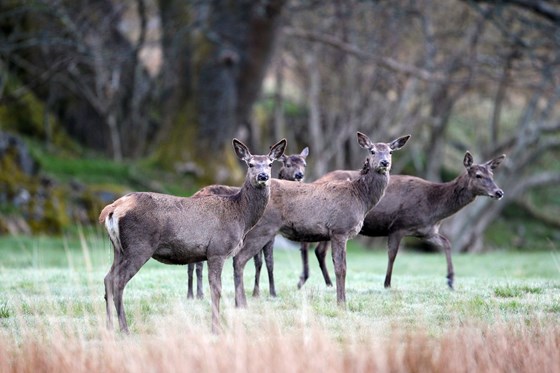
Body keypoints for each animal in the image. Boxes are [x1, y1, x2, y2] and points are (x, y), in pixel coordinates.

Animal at [98, 137, 286, 332]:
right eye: (250, 164)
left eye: (270, 164)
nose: (263, 176)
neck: (241, 217)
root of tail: (113, 208)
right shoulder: (217, 250)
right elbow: (216, 289)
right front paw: (216, 328)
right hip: (139, 246)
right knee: (119, 282)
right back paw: (125, 329)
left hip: (119, 249)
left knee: (108, 279)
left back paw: (109, 327)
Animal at [187, 146, 310, 300]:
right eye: (288, 165)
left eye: (304, 164)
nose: (299, 175)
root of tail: (194, 195)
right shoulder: (266, 233)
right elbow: (268, 262)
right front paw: (270, 292)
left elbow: (259, 262)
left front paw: (256, 292)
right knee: (198, 264)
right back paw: (199, 294)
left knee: (192, 263)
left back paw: (191, 294)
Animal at [229, 132, 412, 306]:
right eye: (372, 151)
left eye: (390, 152)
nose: (384, 163)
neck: (360, 198)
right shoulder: (340, 229)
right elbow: (340, 268)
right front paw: (341, 303)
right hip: (262, 228)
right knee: (240, 259)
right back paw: (241, 302)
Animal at [298, 150, 508, 290]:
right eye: (478, 175)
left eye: (492, 174)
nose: (499, 192)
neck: (433, 208)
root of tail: (317, 179)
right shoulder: (398, 226)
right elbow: (392, 255)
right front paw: (387, 284)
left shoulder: (427, 231)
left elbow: (447, 243)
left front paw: (450, 280)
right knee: (319, 250)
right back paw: (326, 283)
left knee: (318, 250)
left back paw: (326, 282)